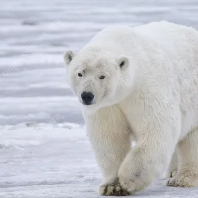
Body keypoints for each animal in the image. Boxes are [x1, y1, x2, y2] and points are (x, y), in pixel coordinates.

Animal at [63, 21, 198, 195]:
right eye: (80, 73)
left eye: (102, 76)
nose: (87, 95)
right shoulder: (107, 107)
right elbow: (110, 138)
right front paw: (111, 186)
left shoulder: (146, 89)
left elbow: (156, 130)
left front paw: (128, 180)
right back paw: (173, 172)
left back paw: (183, 179)